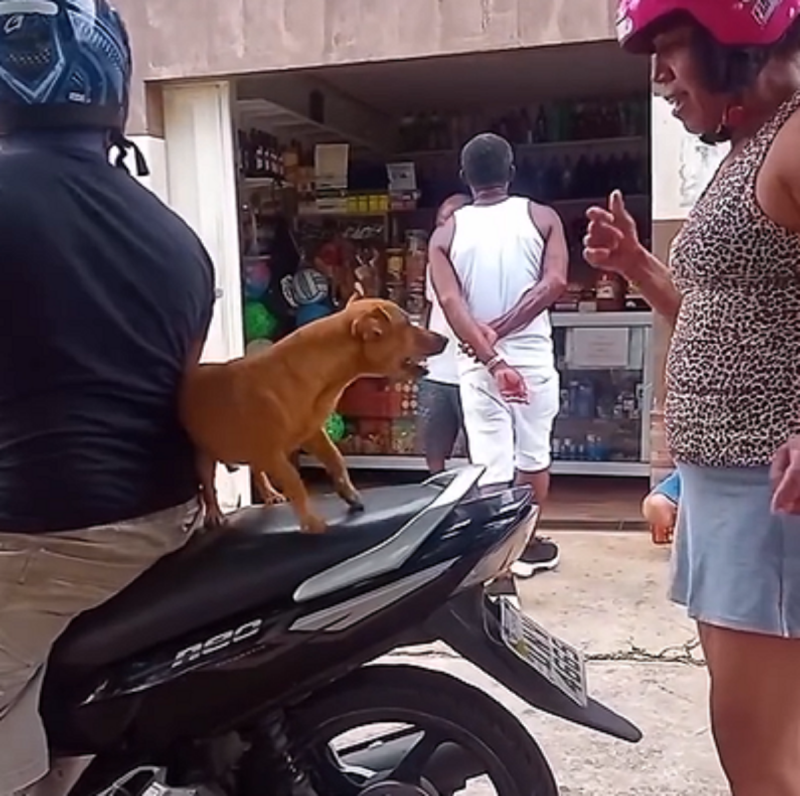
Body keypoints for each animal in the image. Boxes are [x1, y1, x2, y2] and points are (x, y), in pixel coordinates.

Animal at [177, 294, 446, 536]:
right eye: (408, 324)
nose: (445, 338)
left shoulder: (313, 434)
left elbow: (336, 460)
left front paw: (349, 494)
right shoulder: (273, 454)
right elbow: (295, 482)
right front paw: (310, 521)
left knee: (257, 471)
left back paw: (269, 494)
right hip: (204, 454)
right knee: (208, 485)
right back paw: (214, 513)